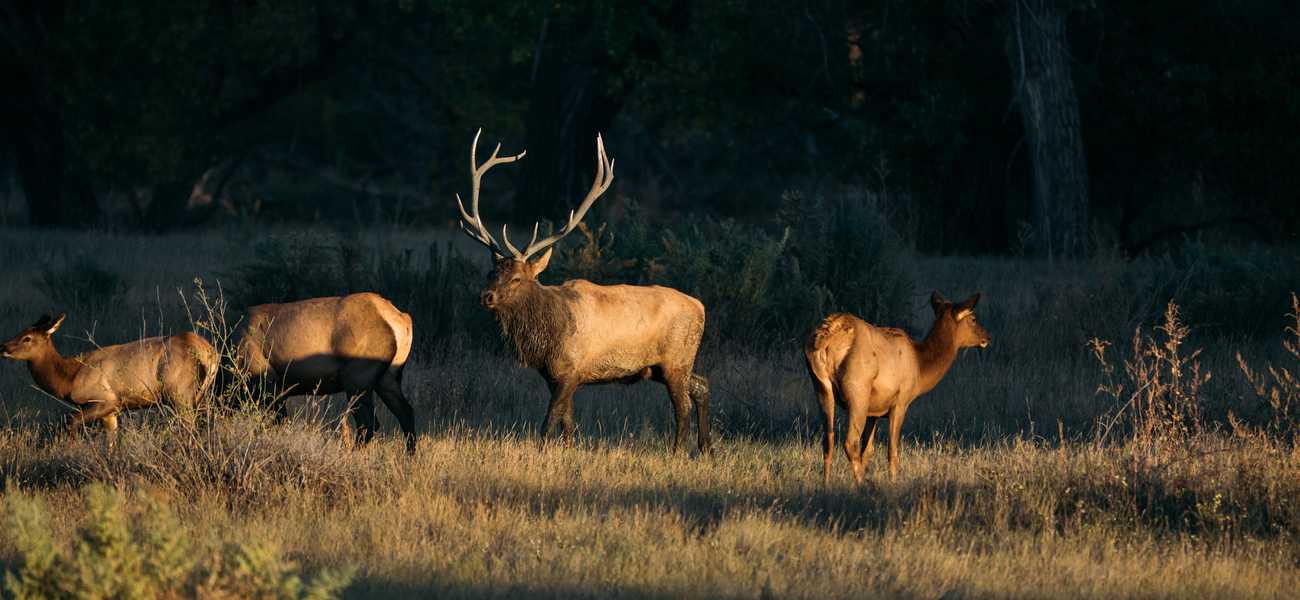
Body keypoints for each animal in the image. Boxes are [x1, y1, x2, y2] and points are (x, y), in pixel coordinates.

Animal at [0, 314, 218, 437]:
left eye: (27, 338)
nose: (3, 347)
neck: (70, 378)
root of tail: (209, 352)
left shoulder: (106, 399)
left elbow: (71, 421)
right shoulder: (112, 411)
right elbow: (112, 442)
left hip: (179, 393)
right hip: (201, 394)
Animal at [231, 292, 417, 453]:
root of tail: (402, 320)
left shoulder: (268, 383)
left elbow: (278, 422)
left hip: (357, 379)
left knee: (368, 423)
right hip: (387, 378)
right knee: (406, 412)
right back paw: (409, 455)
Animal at [454, 130, 711, 454]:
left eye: (517, 279)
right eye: (491, 273)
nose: (486, 297)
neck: (547, 338)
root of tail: (701, 307)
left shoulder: (571, 370)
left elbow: (549, 421)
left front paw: (543, 452)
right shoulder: (553, 376)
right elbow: (568, 422)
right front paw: (568, 450)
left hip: (676, 359)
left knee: (683, 407)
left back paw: (678, 452)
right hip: (663, 366)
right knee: (702, 386)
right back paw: (707, 448)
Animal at [804, 292, 990, 484]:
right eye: (973, 318)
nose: (987, 337)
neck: (920, 368)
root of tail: (825, 339)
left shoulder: (875, 411)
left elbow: (867, 450)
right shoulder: (900, 402)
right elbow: (892, 451)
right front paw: (893, 482)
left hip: (821, 386)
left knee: (828, 440)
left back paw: (826, 484)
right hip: (858, 390)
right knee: (850, 443)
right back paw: (860, 484)